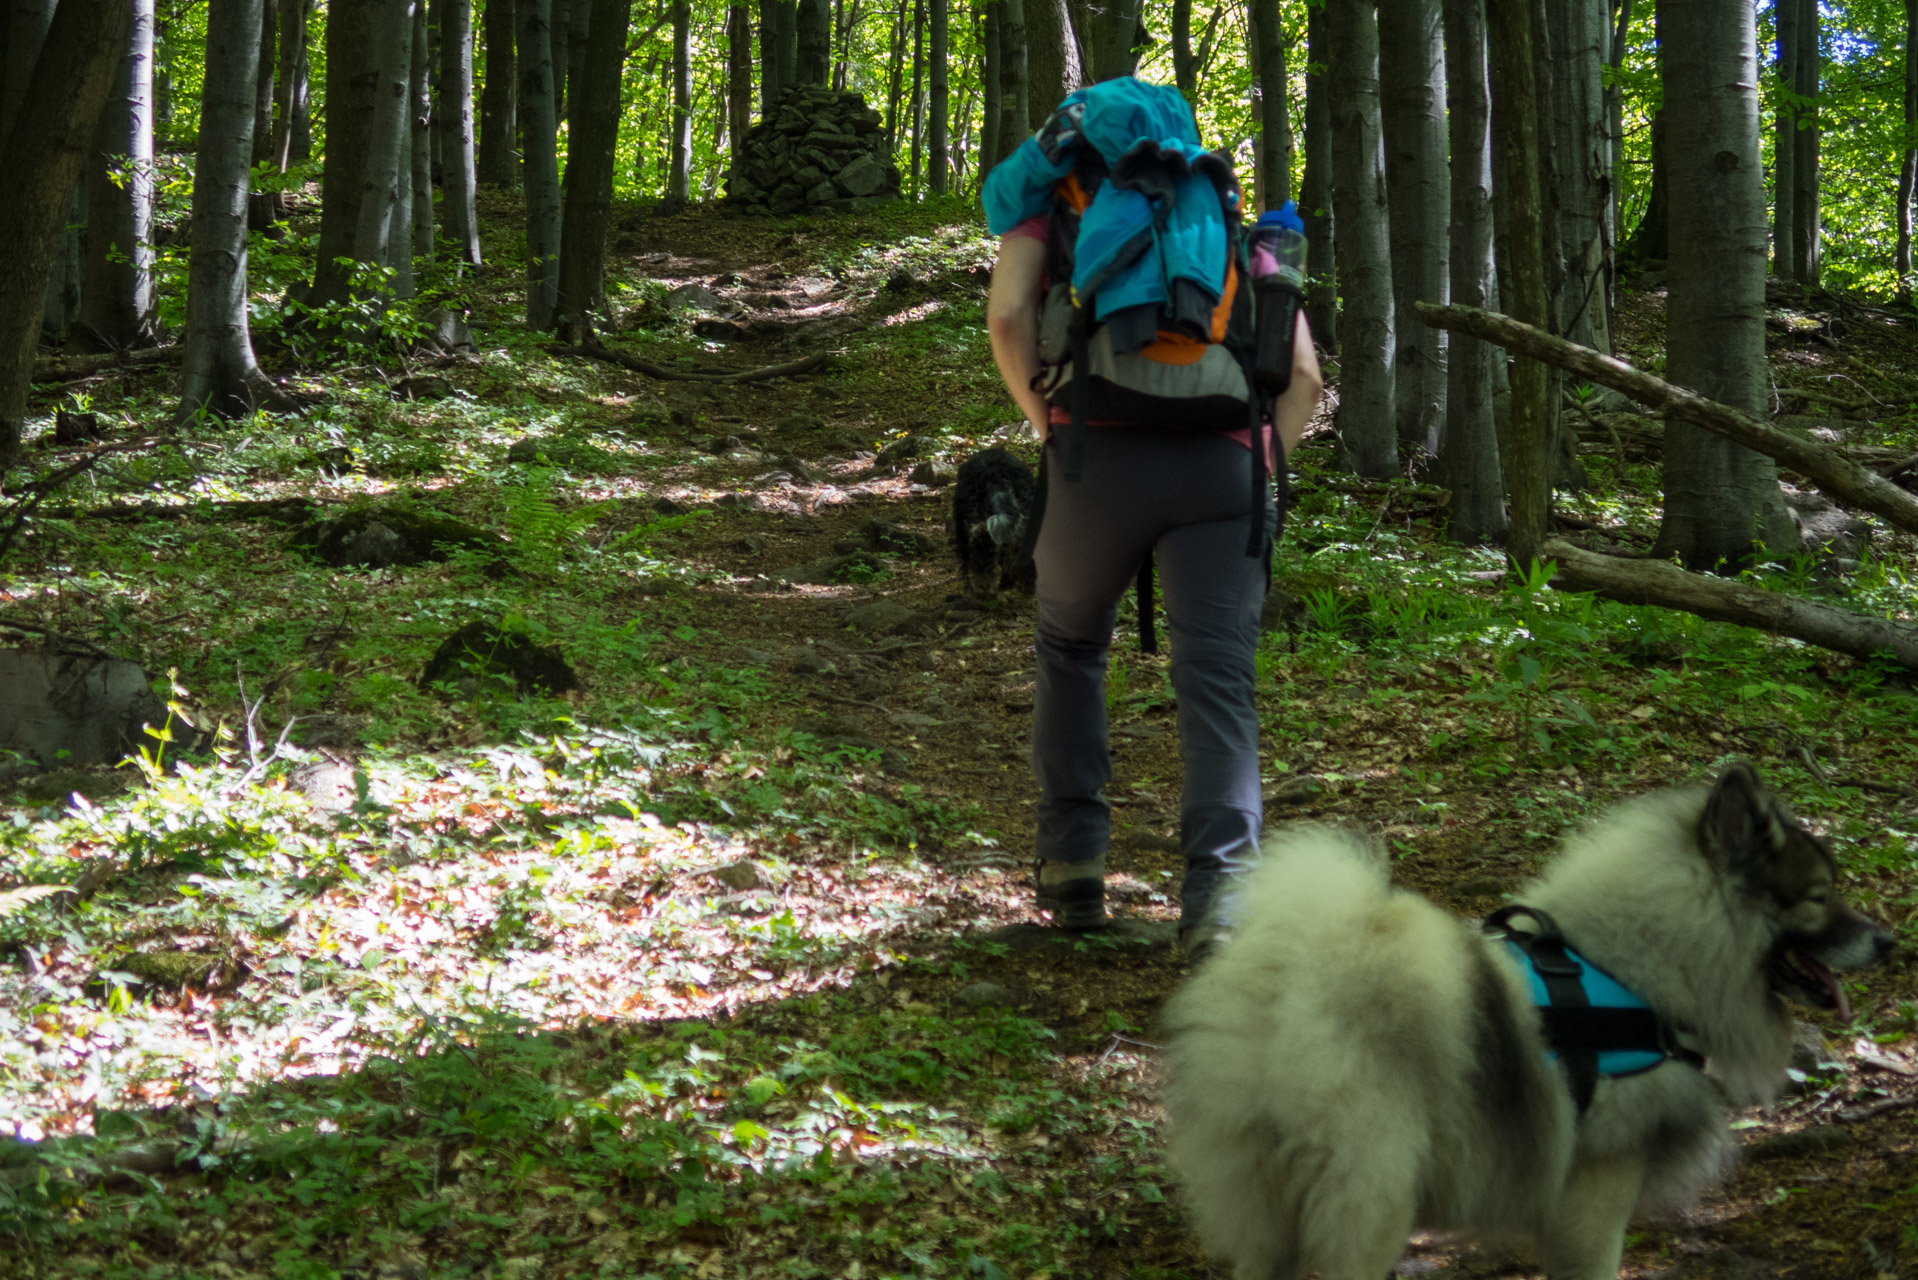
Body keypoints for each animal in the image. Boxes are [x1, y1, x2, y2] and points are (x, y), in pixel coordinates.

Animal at [1158, 759, 1894, 1280]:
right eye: (1819, 898)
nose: (1888, 941)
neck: (1637, 967)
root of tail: (1288, 984)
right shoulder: (1597, 1192)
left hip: (1269, 1206)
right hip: (1374, 1196)